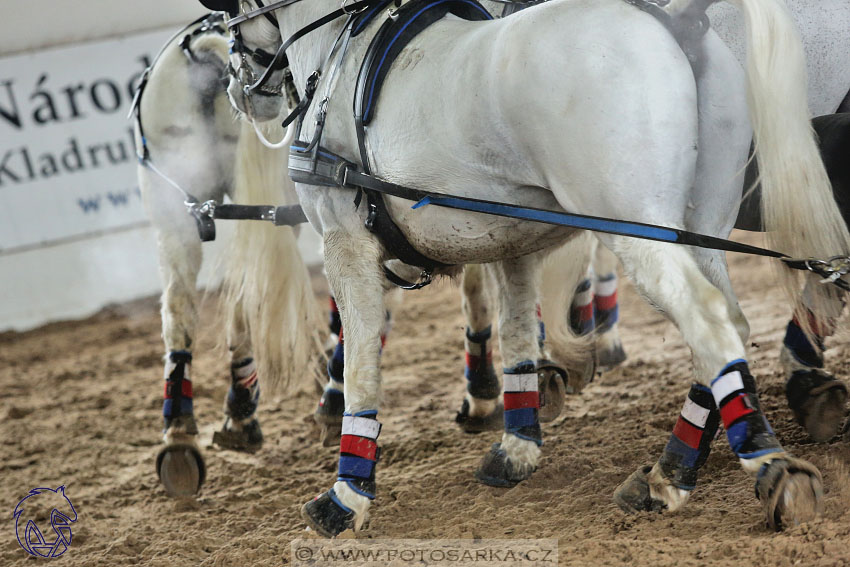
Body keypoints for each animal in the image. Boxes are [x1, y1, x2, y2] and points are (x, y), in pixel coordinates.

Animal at [202, 0, 844, 536]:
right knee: (728, 324)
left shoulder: (346, 245)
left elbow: (362, 361)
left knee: (707, 318)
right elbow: (514, 334)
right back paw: (670, 472)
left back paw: (771, 469)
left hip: (640, 227)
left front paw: (346, 493)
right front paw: (517, 446)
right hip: (699, 223)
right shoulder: (506, 242)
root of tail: (680, 19)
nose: (240, 90)